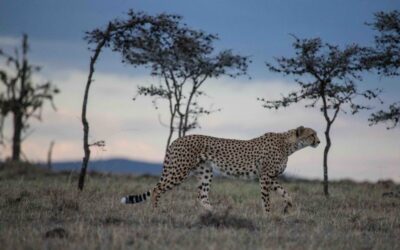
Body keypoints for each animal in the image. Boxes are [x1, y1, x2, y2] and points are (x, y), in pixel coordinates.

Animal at [120, 126, 320, 214]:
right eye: (312, 134)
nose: (319, 141)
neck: (289, 145)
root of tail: (177, 139)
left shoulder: (270, 177)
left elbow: (287, 193)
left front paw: (287, 207)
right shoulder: (265, 177)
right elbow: (267, 199)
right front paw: (268, 216)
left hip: (205, 172)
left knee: (201, 196)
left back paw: (214, 213)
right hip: (179, 170)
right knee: (156, 189)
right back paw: (155, 211)